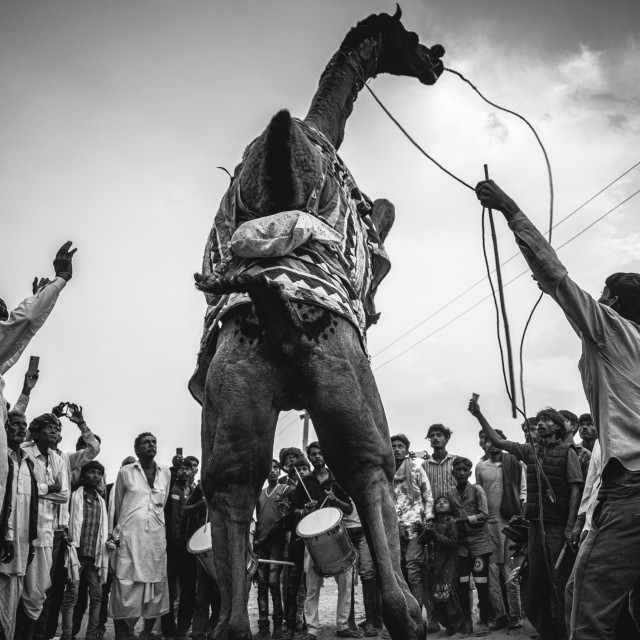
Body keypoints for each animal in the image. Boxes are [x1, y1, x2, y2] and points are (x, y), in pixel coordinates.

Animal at [190, 6, 444, 640]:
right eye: (407, 38)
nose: (435, 61)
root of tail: (278, 315)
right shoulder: (370, 230)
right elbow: (385, 221)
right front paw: (373, 302)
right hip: (350, 391)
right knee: (371, 477)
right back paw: (407, 611)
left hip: (233, 403)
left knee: (231, 504)